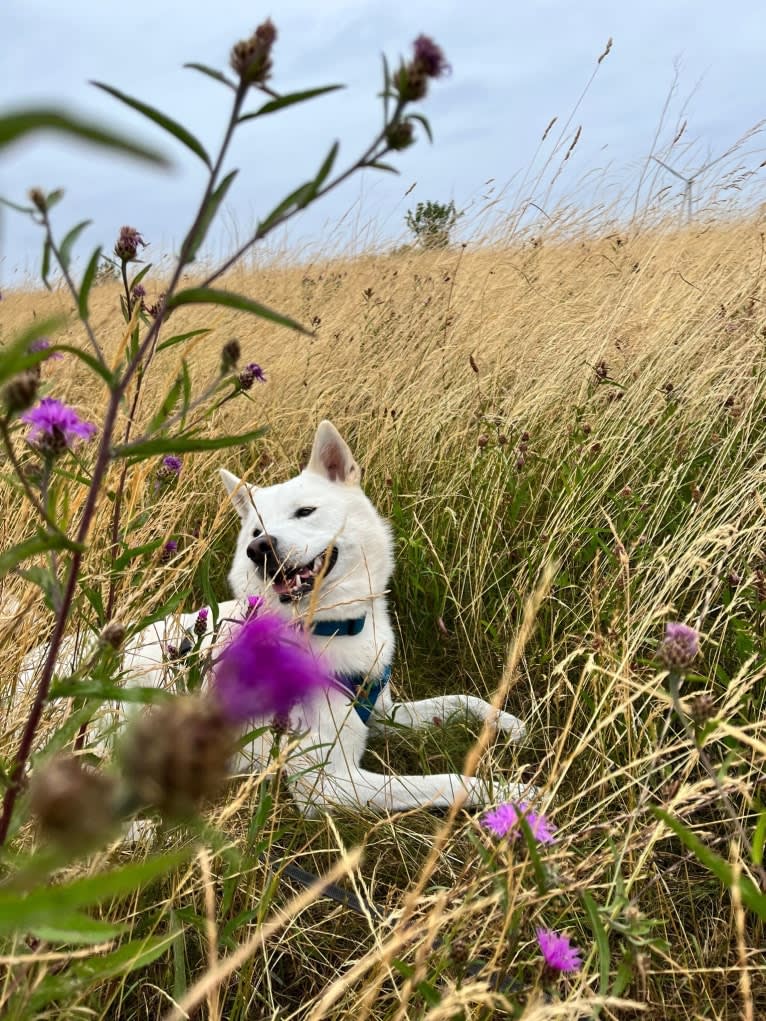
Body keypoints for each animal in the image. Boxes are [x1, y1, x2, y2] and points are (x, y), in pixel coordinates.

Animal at [24, 420, 531, 812]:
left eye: (305, 512)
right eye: (254, 531)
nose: (260, 549)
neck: (329, 627)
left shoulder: (383, 712)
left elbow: (459, 700)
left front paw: (508, 725)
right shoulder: (327, 784)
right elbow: (447, 782)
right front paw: (514, 798)